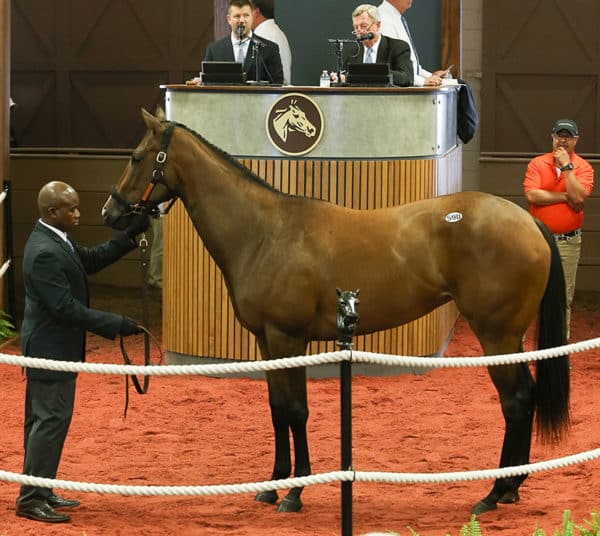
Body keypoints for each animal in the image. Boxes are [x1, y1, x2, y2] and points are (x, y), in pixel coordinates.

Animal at [101, 108, 568, 516]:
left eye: (137, 156)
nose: (111, 212)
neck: (265, 233)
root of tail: (528, 221)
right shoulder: (267, 341)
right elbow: (277, 408)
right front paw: (273, 486)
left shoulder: (289, 337)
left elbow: (295, 410)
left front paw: (295, 493)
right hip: (508, 338)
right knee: (523, 398)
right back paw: (511, 487)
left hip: (497, 335)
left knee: (516, 401)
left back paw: (494, 493)